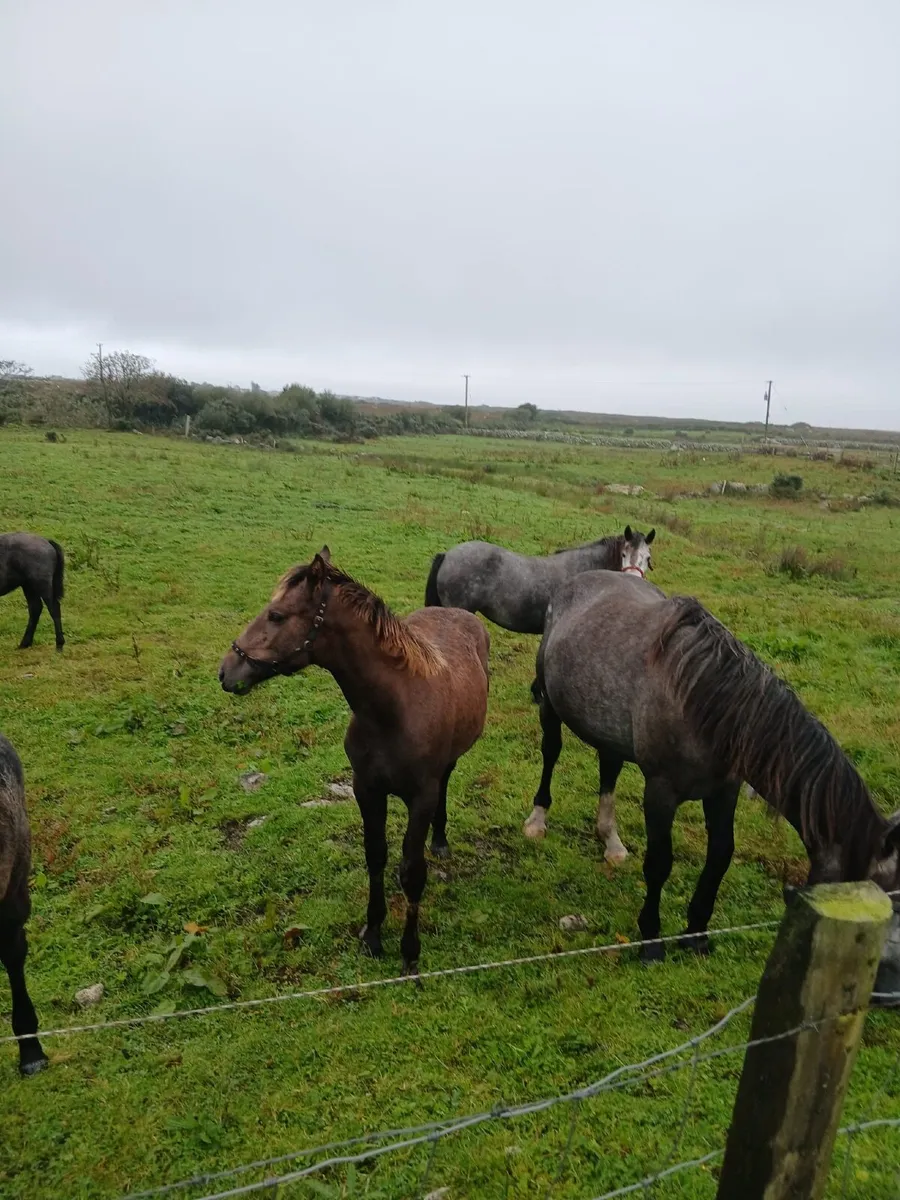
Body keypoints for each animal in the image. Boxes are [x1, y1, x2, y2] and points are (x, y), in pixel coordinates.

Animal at [219, 547, 490, 974]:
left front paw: (410, 952)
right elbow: (375, 856)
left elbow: (412, 872)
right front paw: (374, 934)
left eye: (276, 615)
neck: (393, 709)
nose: (226, 672)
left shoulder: (420, 798)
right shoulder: (366, 789)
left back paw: (440, 840)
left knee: (447, 780)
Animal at [527, 571, 900, 964]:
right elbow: (659, 862)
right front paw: (651, 942)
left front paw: (696, 935)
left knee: (609, 767)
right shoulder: (660, 792)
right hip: (550, 707)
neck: (709, 707)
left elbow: (720, 855)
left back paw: (611, 842)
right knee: (551, 753)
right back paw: (537, 820)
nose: (885, 964)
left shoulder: (724, 791)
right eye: (883, 896)